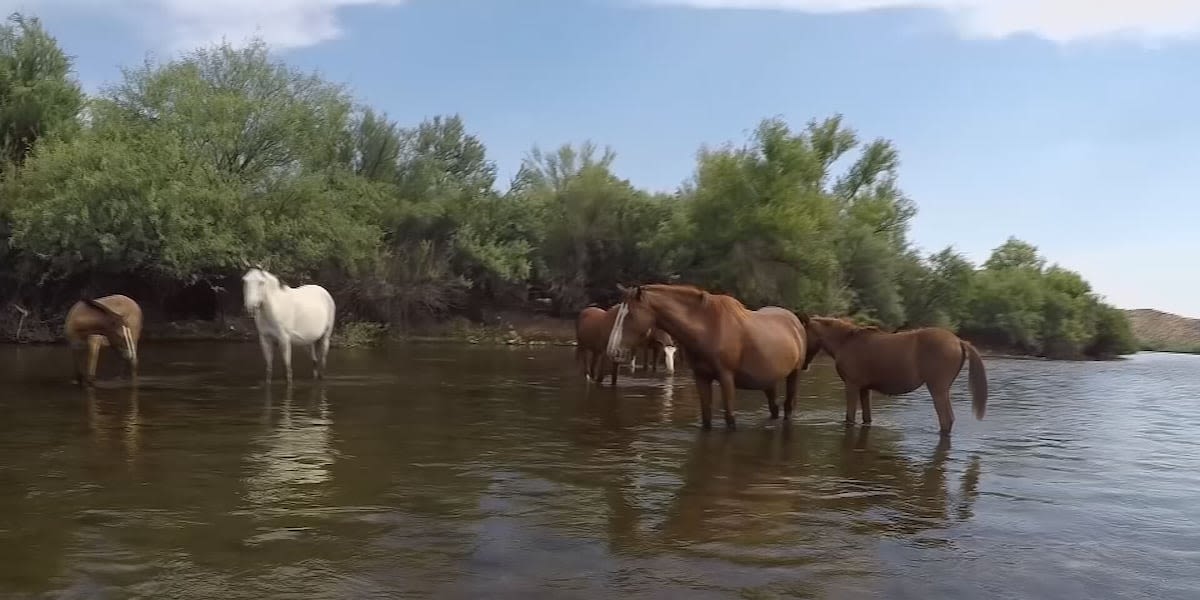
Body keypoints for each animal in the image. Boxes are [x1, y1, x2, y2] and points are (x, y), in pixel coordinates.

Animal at [604, 283, 820, 429]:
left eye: (630, 315)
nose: (612, 351)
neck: (708, 327)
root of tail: (795, 321)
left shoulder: (726, 378)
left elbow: (730, 418)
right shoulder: (701, 377)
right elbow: (706, 418)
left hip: (794, 374)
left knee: (788, 406)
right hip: (769, 381)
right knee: (774, 408)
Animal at [801, 314, 988, 436]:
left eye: (802, 333)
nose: (803, 363)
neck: (846, 342)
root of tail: (958, 341)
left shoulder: (851, 386)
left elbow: (850, 418)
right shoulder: (864, 389)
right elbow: (866, 418)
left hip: (938, 389)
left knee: (946, 419)